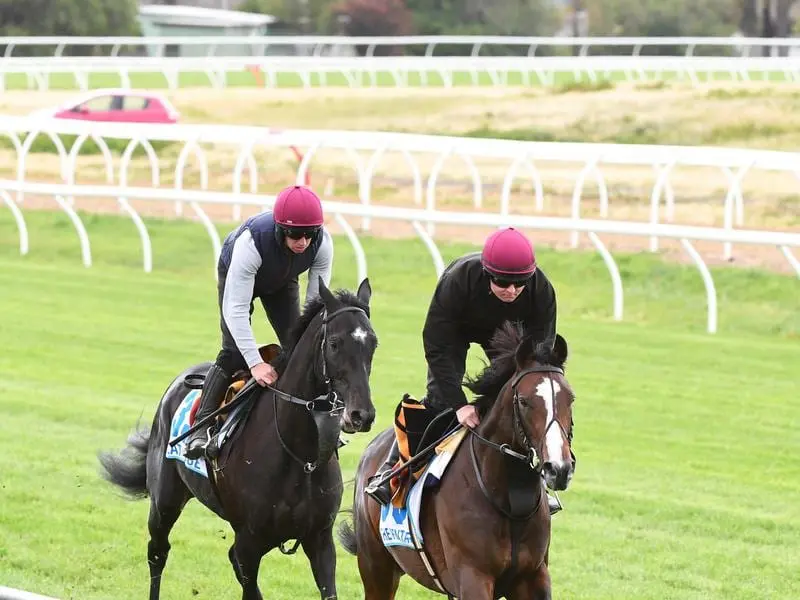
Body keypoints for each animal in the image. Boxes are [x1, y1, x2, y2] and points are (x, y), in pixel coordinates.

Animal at [97, 278, 378, 600]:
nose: (361, 414)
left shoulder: (319, 539)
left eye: (373, 343)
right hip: (164, 501)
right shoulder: (249, 542)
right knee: (157, 552)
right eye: (334, 344)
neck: (297, 453)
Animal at [338, 324, 576, 600]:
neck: (509, 497)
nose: (559, 469)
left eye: (570, 399)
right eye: (525, 401)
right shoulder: (473, 577)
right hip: (376, 568)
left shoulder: (533, 577)